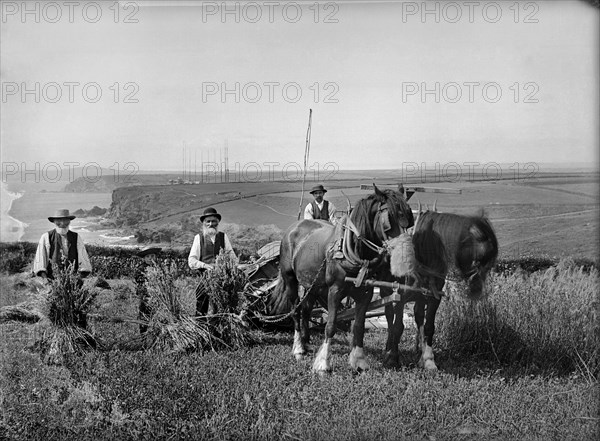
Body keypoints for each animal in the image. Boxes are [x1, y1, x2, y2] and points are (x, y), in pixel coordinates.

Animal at [270, 184, 412, 372]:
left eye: (410, 218)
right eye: (390, 218)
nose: (405, 256)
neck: (353, 251)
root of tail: (293, 228)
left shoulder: (365, 293)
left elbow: (358, 326)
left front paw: (359, 361)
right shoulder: (334, 290)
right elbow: (330, 325)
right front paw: (323, 364)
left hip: (312, 284)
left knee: (306, 309)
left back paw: (306, 343)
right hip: (291, 279)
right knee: (295, 310)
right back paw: (298, 348)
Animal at [382, 206, 500, 368]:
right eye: (480, 260)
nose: (477, 290)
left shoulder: (434, 296)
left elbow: (429, 327)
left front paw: (429, 359)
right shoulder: (401, 295)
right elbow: (398, 325)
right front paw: (393, 357)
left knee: (418, 314)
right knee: (389, 315)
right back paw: (389, 348)